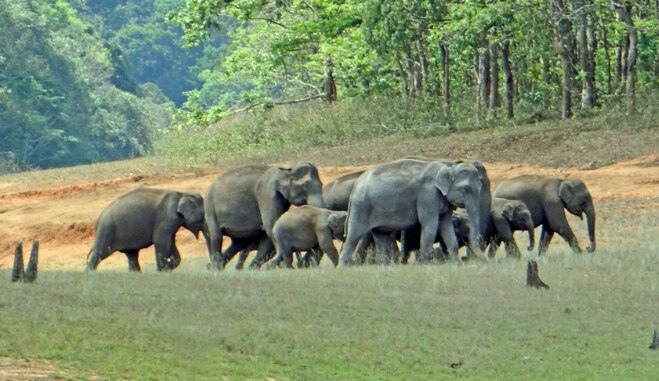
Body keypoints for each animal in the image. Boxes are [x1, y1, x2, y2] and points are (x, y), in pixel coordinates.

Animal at [340, 158, 484, 264]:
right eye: (465, 189)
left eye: (479, 187)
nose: (484, 260)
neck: (448, 167)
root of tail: (355, 187)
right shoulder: (427, 196)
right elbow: (430, 226)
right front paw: (425, 264)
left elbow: (446, 227)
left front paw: (456, 264)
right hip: (361, 208)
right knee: (353, 236)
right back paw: (344, 267)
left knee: (380, 237)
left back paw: (384, 266)